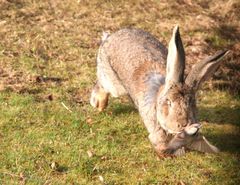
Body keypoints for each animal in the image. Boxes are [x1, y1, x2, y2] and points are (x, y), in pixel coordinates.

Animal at [89, 24, 229, 156]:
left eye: (193, 103)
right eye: (169, 102)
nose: (183, 124)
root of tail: (111, 36)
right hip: (113, 83)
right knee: (103, 84)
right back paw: (98, 103)